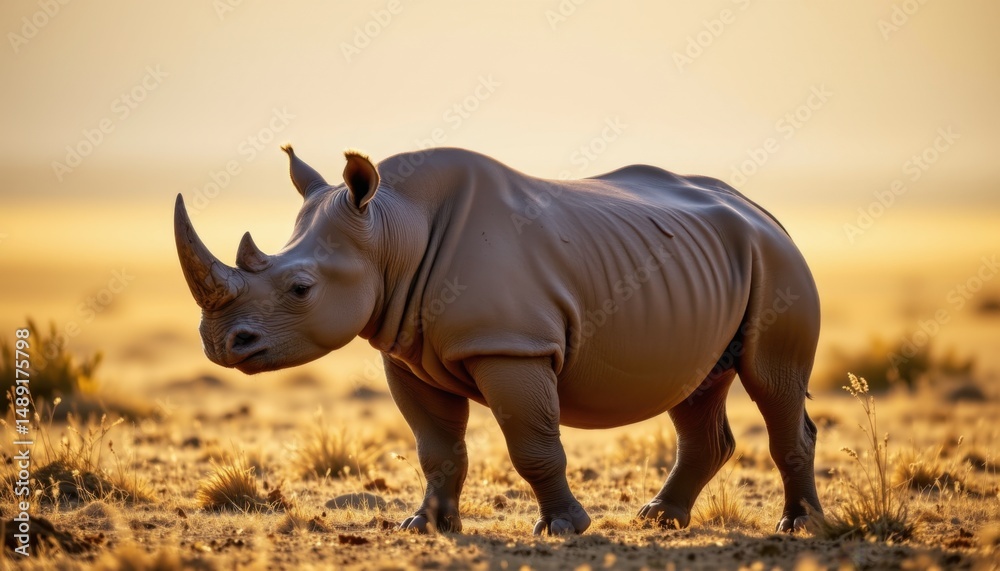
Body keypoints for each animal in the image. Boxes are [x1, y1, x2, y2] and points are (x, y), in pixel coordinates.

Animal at [174, 145, 823, 535]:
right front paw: (427, 527)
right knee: (697, 386)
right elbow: (437, 449)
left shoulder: (511, 344)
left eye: (301, 288)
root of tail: (764, 212)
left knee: (773, 383)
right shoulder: (406, 355)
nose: (220, 344)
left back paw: (799, 527)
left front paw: (563, 529)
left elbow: (532, 444)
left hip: (777, 262)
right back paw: (659, 520)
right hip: (711, 267)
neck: (390, 227)